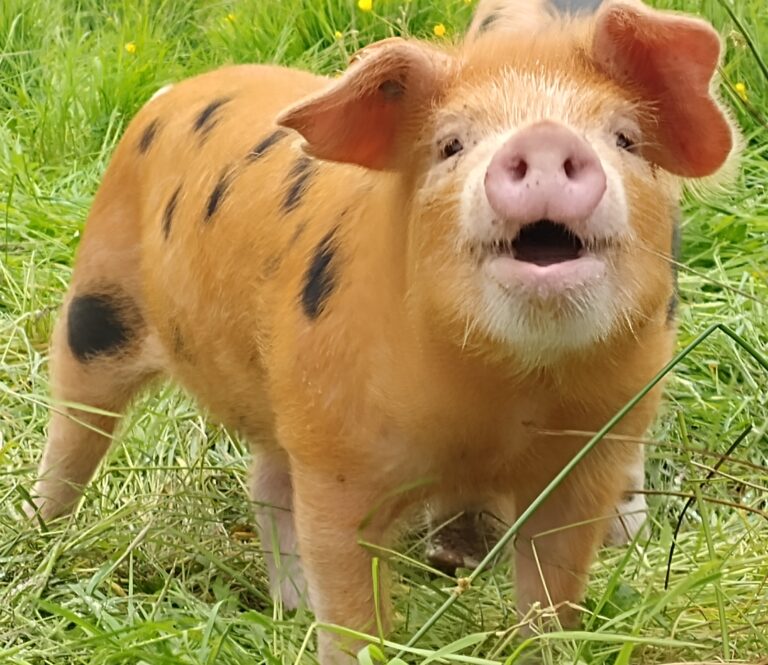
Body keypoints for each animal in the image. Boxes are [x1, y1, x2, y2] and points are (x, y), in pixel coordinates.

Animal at [27, 0, 735, 661]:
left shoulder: (589, 455)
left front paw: (542, 644)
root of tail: (173, 92)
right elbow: (348, 590)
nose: (542, 137)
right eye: (450, 145)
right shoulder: (338, 455)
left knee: (268, 487)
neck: (505, 394)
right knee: (75, 428)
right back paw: (40, 539)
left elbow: (552, 585)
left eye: (625, 139)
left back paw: (293, 606)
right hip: (98, 300)